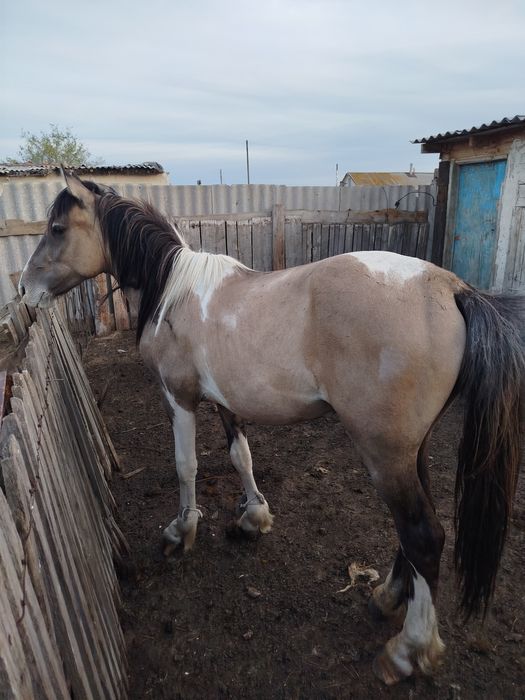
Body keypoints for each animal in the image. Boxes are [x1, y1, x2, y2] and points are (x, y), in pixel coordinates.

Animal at [19, 171, 524, 685]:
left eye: (57, 228)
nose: (25, 288)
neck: (175, 291)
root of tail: (450, 288)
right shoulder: (225, 401)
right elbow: (240, 457)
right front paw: (253, 516)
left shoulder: (178, 398)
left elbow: (185, 465)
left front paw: (182, 530)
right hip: (410, 451)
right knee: (414, 530)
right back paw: (386, 598)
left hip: (384, 454)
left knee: (423, 535)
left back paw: (409, 649)